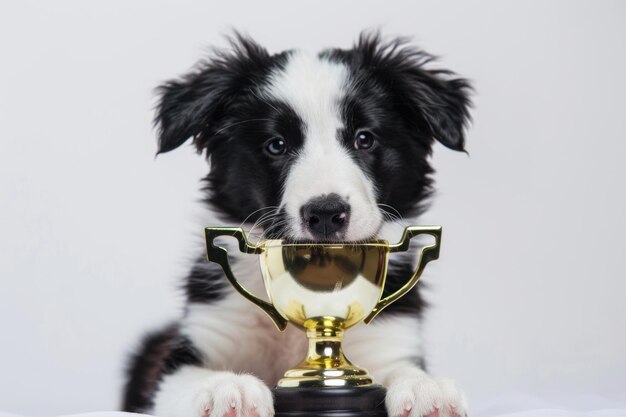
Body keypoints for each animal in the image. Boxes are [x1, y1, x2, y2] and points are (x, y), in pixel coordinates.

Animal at [122, 31, 470, 416]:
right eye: (276, 145)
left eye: (364, 139)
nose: (326, 214)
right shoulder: (192, 347)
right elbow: (190, 379)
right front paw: (227, 387)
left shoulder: (389, 338)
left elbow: (401, 369)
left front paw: (427, 388)